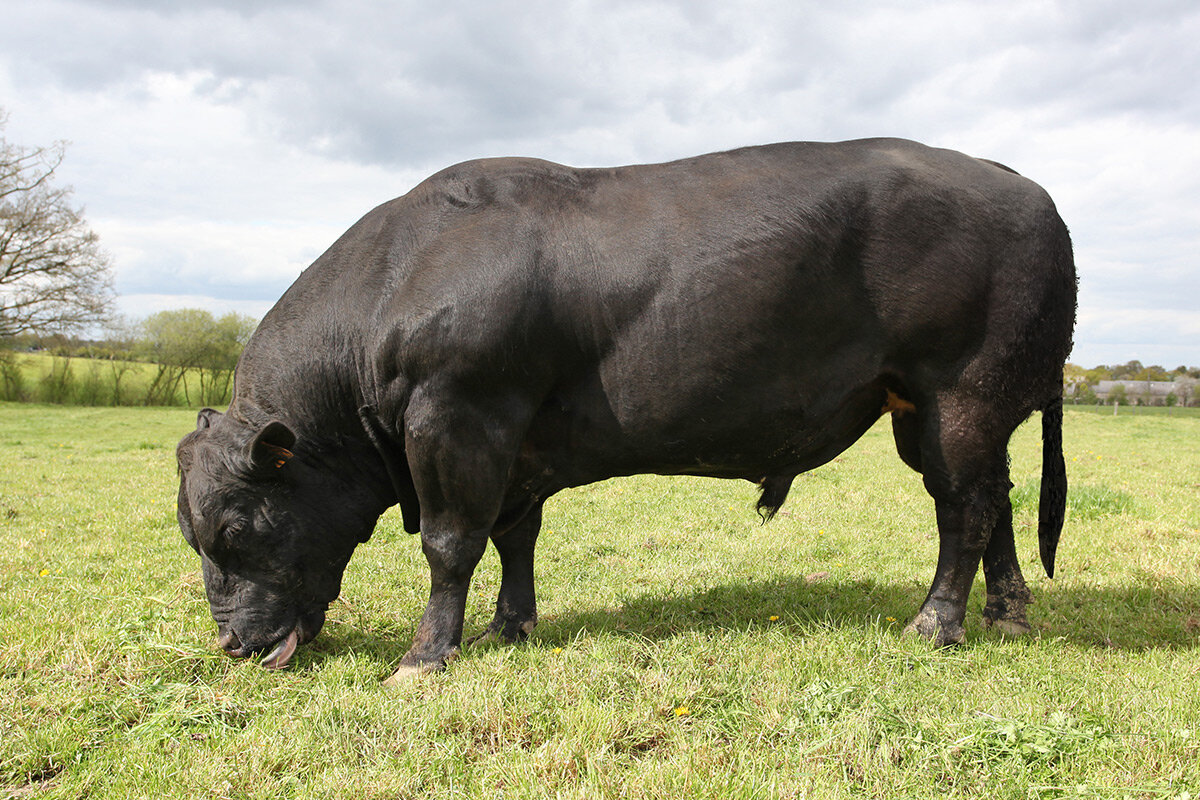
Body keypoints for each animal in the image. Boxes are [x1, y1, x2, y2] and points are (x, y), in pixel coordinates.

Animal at [171, 137, 1080, 681]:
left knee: (963, 509)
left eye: (236, 530)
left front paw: (426, 657)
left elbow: (450, 542)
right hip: (943, 410)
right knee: (995, 501)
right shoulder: (516, 445)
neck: (398, 278)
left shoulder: (457, 415)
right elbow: (515, 536)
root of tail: (1018, 180)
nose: (230, 643)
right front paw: (509, 627)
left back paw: (935, 623)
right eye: (194, 534)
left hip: (960, 392)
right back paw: (1007, 613)